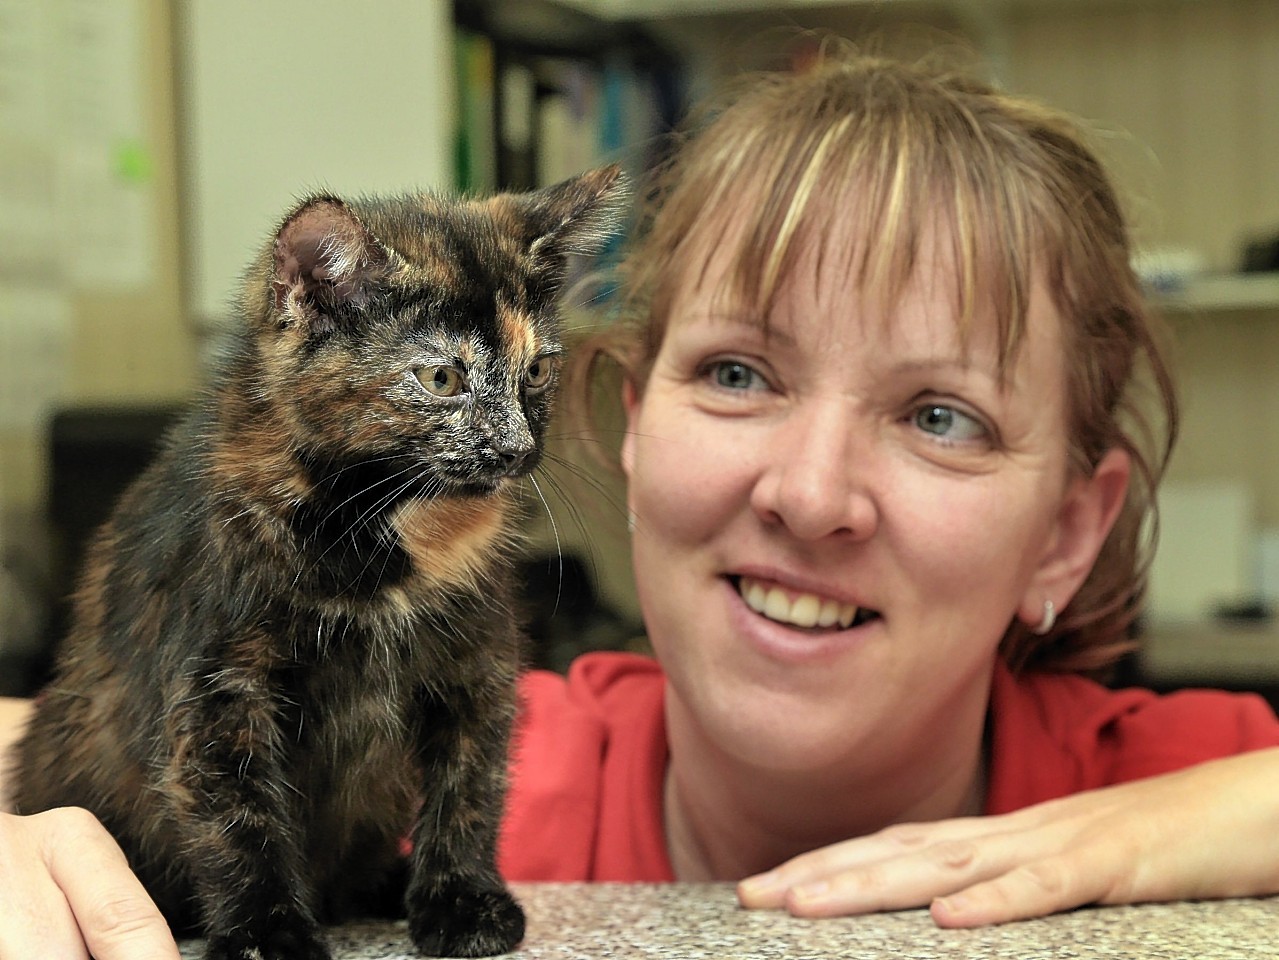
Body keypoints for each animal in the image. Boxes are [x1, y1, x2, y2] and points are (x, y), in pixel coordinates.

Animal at [11, 164, 629, 960]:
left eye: (539, 371)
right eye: (441, 379)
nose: (516, 447)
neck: (376, 530)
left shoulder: (476, 664)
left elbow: (471, 784)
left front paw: (461, 900)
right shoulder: (217, 687)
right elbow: (237, 815)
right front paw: (264, 932)